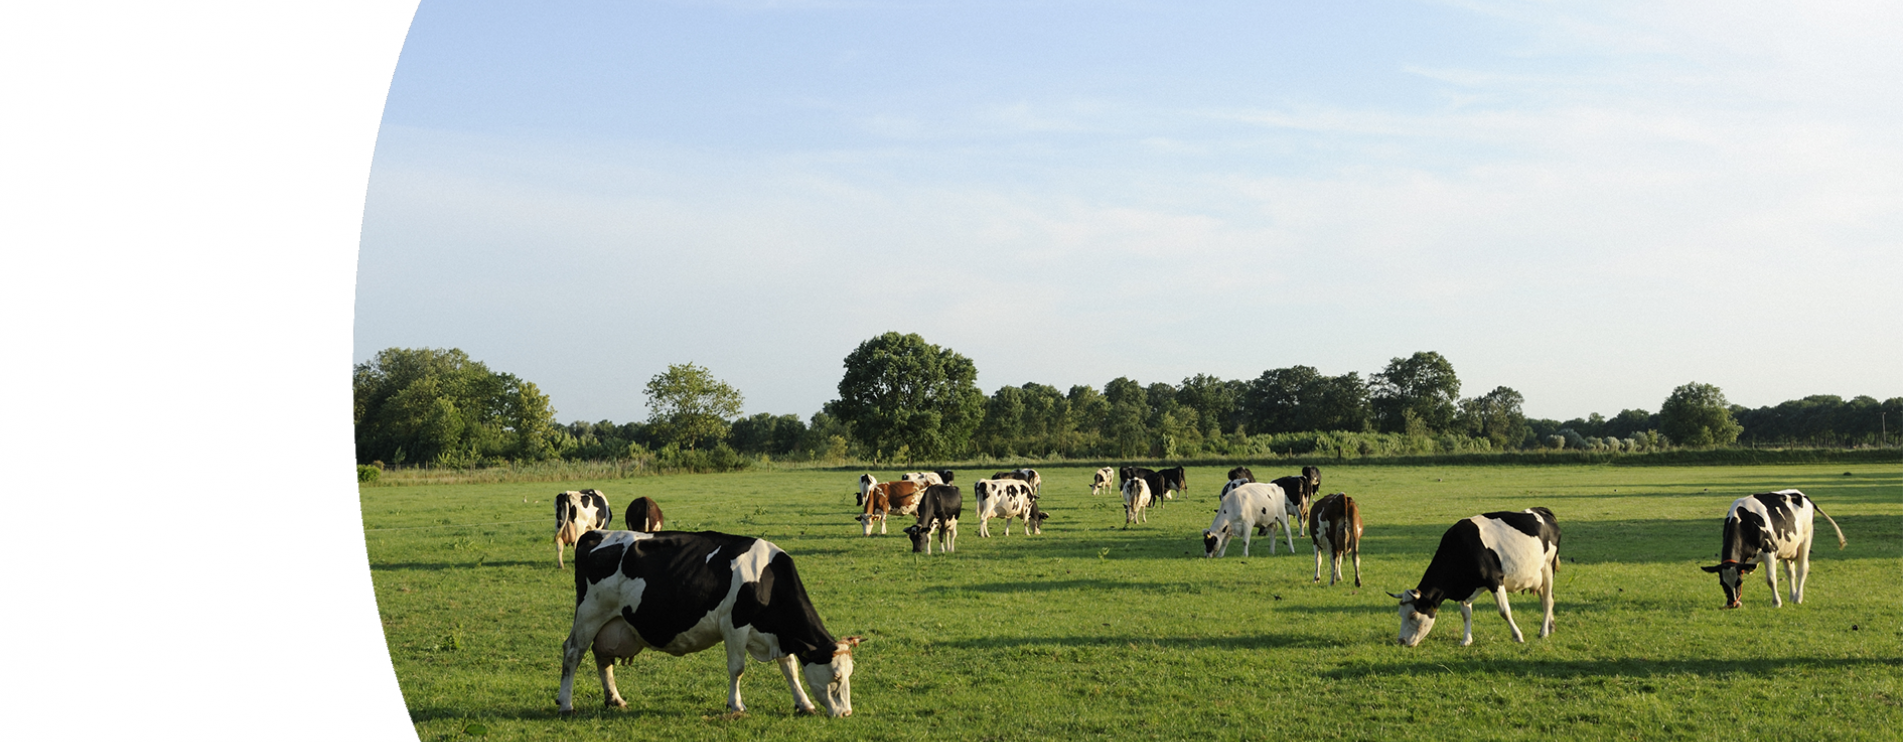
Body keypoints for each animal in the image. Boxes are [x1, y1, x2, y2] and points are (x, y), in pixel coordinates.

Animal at [555, 528, 860, 715]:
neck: (767, 577)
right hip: (589, 613)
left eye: (850, 675)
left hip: (610, 623)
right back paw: (566, 704)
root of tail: (596, 534)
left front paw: (804, 703)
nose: (846, 713)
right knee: (573, 652)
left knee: (602, 657)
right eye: (836, 676)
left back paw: (614, 699)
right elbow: (737, 668)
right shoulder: (735, 624)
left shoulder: (778, 635)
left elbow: (791, 669)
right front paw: (736, 705)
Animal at [1385, 506, 1560, 646]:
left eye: (1413, 615)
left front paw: (1517, 636)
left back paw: (1544, 631)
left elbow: (1504, 611)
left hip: (1548, 567)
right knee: (1545, 597)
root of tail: (1539, 510)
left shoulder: (1495, 580)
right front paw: (1466, 640)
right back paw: (1550, 626)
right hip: (1537, 575)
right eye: (1400, 614)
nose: (1401, 641)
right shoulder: (1465, 589)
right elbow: (1465, 614)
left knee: (1547, 600)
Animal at [1697, 487, 1842, 608]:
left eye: (1739, 582)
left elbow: (1771, 580)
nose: (1733, 604)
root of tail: (1803, 495)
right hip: (1787, 548)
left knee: (1802, 569)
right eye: (1722, 583)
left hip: (1805, 540)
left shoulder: (1769, 551)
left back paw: (1797, 598)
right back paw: (1792, 596)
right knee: (1791, 572)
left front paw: (1776, 603)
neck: (1745, 521)